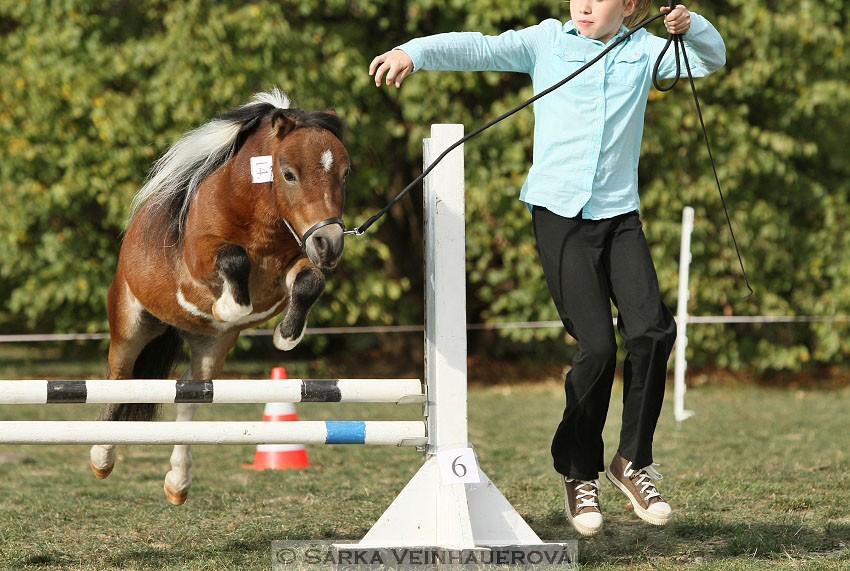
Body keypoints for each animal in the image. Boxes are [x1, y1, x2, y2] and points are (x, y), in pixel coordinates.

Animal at [89, 89, 348, 504]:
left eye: (344, 173)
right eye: (289, 174)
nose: (330, 244)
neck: (256, 218)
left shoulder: (293, 264)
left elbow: (310, 282)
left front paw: (286, 336)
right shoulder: (200, 262)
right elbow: (234, 259)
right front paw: (229, 307)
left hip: (211, 351)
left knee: (191, 396)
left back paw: (178, 483)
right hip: (130, 329)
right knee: (120, 380)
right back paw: (102, 458)